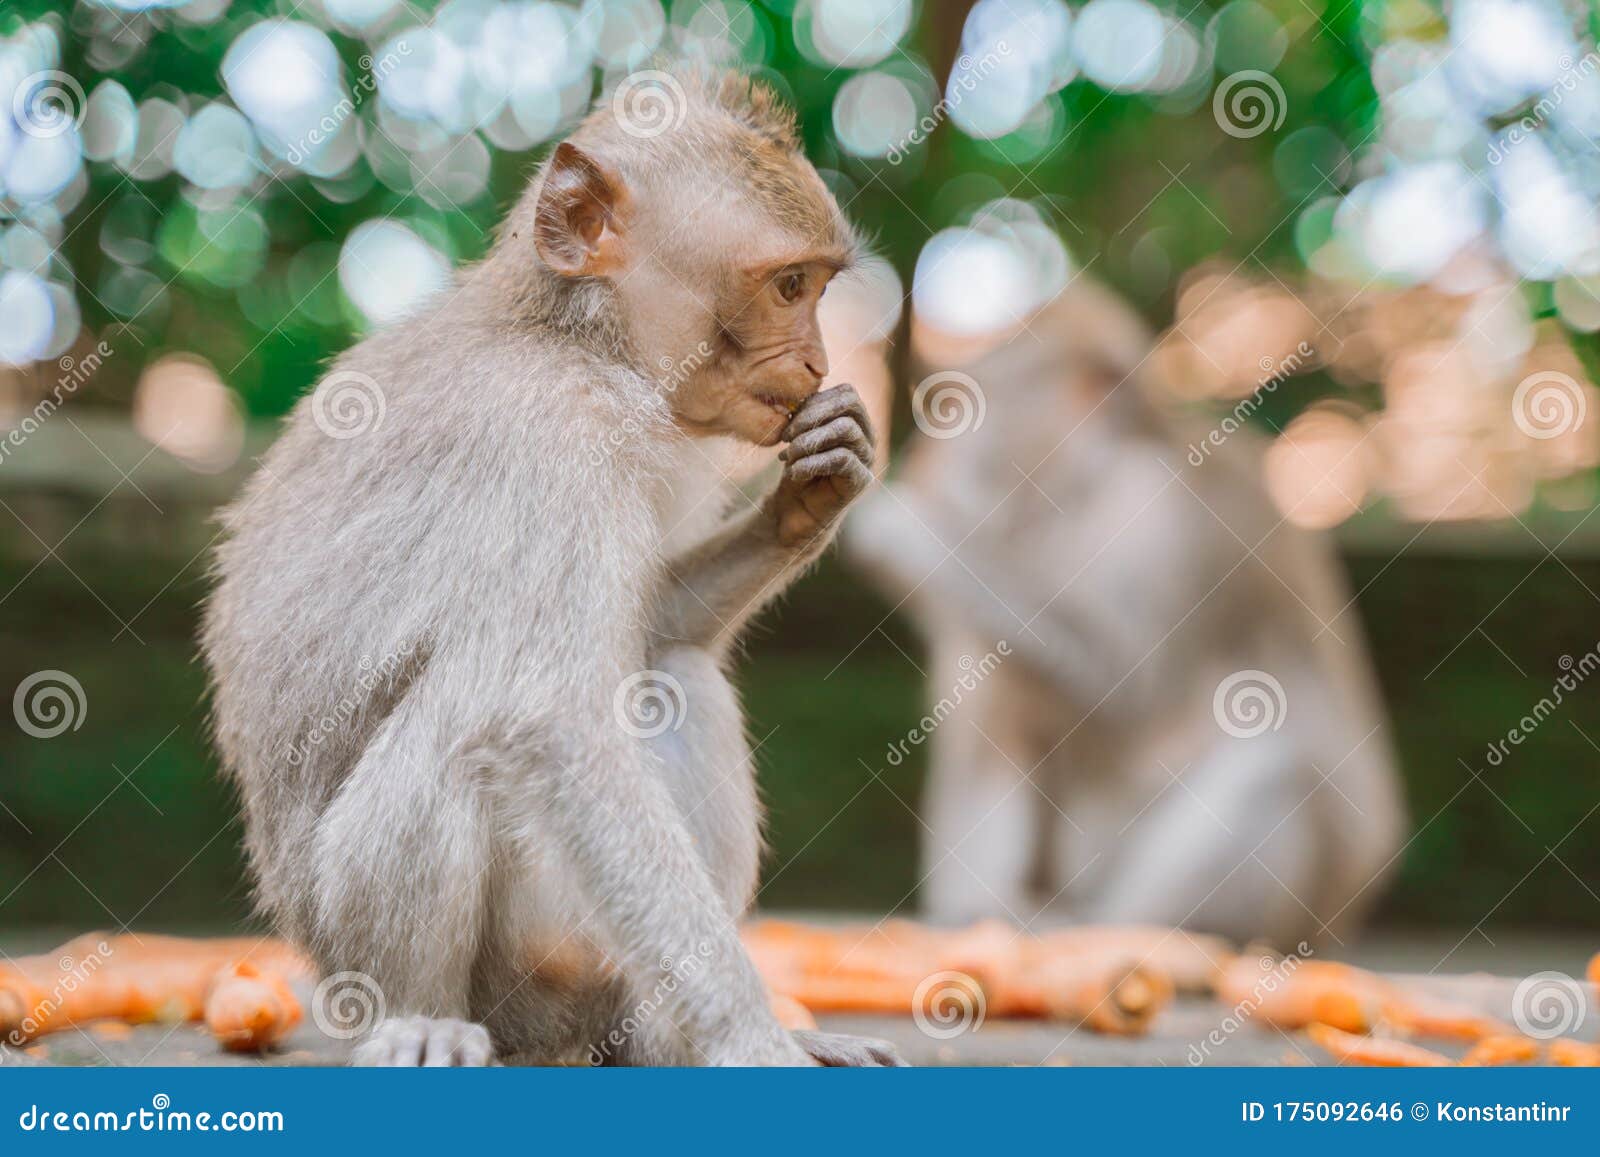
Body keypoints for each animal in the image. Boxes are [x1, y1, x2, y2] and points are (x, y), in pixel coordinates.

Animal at [198, 72, 902, 1068]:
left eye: (815, 288)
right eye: (789, 285)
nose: (816, 361)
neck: (576, 338)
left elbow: (654, 624)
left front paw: (810, 497)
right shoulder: (548, 438)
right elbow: (554, 720)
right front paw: (751, 1038)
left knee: (673, 669)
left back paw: (657, 1036)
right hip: (463, 964)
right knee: (468, 713)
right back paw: (420, 1014)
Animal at [844, 278, 1408, 947]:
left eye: (953, 412)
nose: (926, 460)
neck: (1081, 488)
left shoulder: (1162, 518)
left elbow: (1130, 688)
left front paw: (901, 525)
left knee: (1276, 770)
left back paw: (1115, 932)